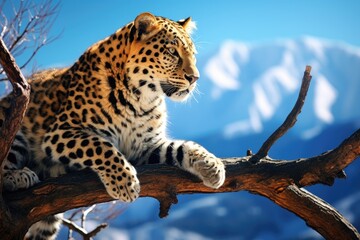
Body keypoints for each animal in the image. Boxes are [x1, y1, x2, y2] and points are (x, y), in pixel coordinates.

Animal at [0, 12, 225, 238]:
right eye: (172, 51)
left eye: (193, 55)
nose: (194, 78)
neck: (141, 100)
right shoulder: (61, 132)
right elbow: (102, 146)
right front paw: (126, 183)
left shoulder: (145, 147)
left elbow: (182, 147)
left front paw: (212, 166)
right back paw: (19, 176)